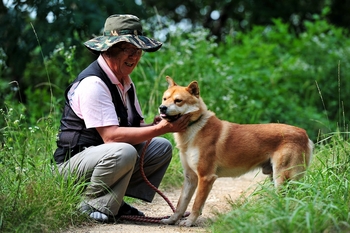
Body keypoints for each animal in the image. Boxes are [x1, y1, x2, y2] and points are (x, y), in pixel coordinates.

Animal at [159, 77, 314, 227]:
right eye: (164, 98)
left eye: (178, 101)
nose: (162, 108)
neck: (194, 128)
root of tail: (304, 133)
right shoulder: (190, 178)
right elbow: (180, 205)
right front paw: (172, 220)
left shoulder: (205, 177)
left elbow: (196, 205)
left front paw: (190, 222)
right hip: (277, 178)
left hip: (283, 178)